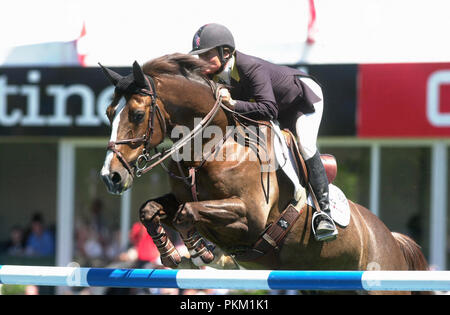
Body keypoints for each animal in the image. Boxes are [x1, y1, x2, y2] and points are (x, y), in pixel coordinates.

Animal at [98, 53, 428, 296]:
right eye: (109, 113)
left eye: (137, 114)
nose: (110, 177)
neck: (213, 147)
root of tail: (392, 238)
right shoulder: (183, 196)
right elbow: (151, 209)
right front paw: (172, 254)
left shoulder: (251, 216)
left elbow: (186, 213)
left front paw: (202, 252)